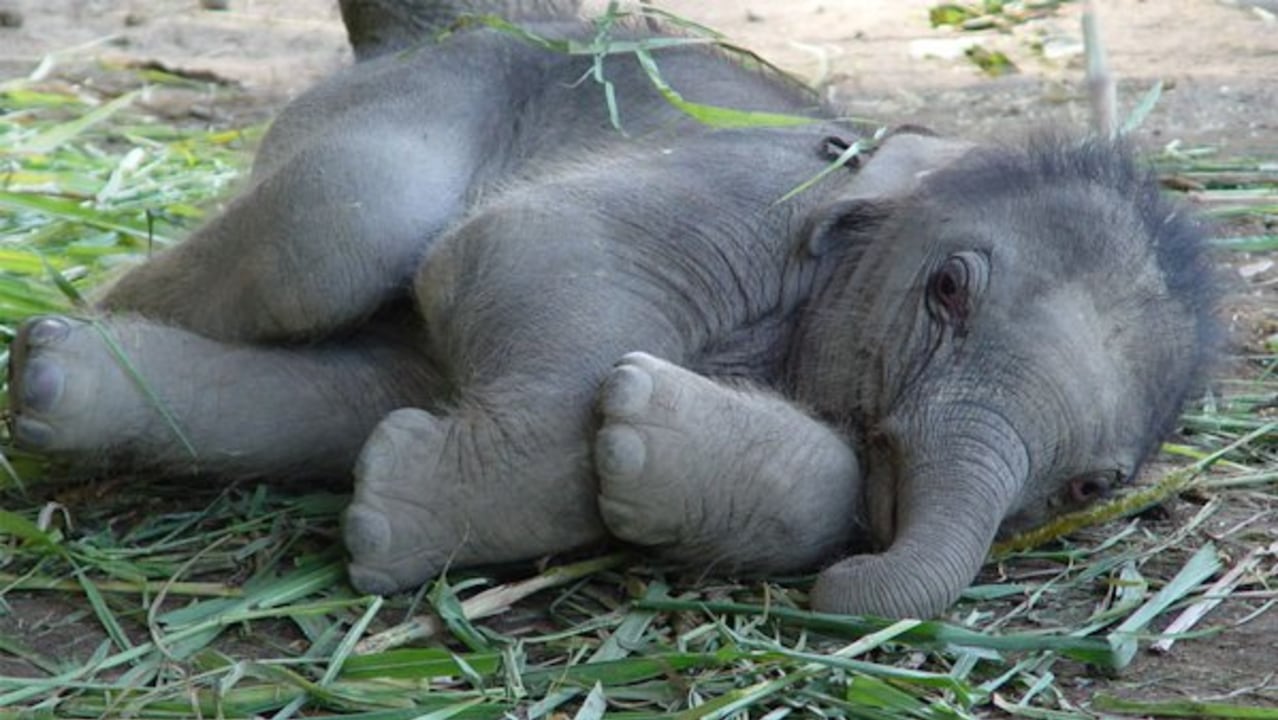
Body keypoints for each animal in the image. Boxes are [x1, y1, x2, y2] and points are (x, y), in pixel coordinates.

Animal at [5, 0, 1216, 619]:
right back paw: (50, 358)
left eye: (1091, 486)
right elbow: (524, 248)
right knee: (337, 229)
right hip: (419, 95)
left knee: (340, 391)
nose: (842, 592)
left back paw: (61, 385)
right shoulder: (739, 192)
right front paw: (392, 527)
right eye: (948, 289)